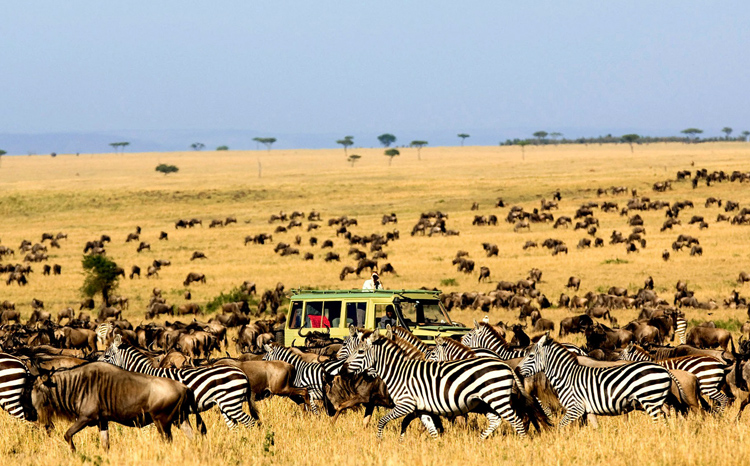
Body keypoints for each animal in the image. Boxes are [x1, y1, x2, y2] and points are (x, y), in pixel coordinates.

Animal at [100, 334, 258, 430]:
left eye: (107, 356)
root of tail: (242, 373)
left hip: (231, 402)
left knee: (250, 422)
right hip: (225, 404)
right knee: (234, 426)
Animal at [344, 334, 544, 438]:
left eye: (360, 352)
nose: (344, 368)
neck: (398, 372)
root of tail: (505, 365)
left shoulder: (406, 404)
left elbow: (382, 421)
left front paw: (379, 441)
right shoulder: (422, 407)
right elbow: (431, 429)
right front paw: (436, 447)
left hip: (497, 398)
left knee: (516, 420)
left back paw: (522, 442)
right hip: (487, 401)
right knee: (496, 421)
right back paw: (480, 442)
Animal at [520, 334, 672, 428]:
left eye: (531, 356)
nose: (516, 369)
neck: (566, 376)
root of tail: (665, 370)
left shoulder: (575, 408)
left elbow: (561, 426)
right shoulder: (588, 410)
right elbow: (595, 428)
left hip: (650, 399)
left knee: (660, 421)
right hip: (656, 400)